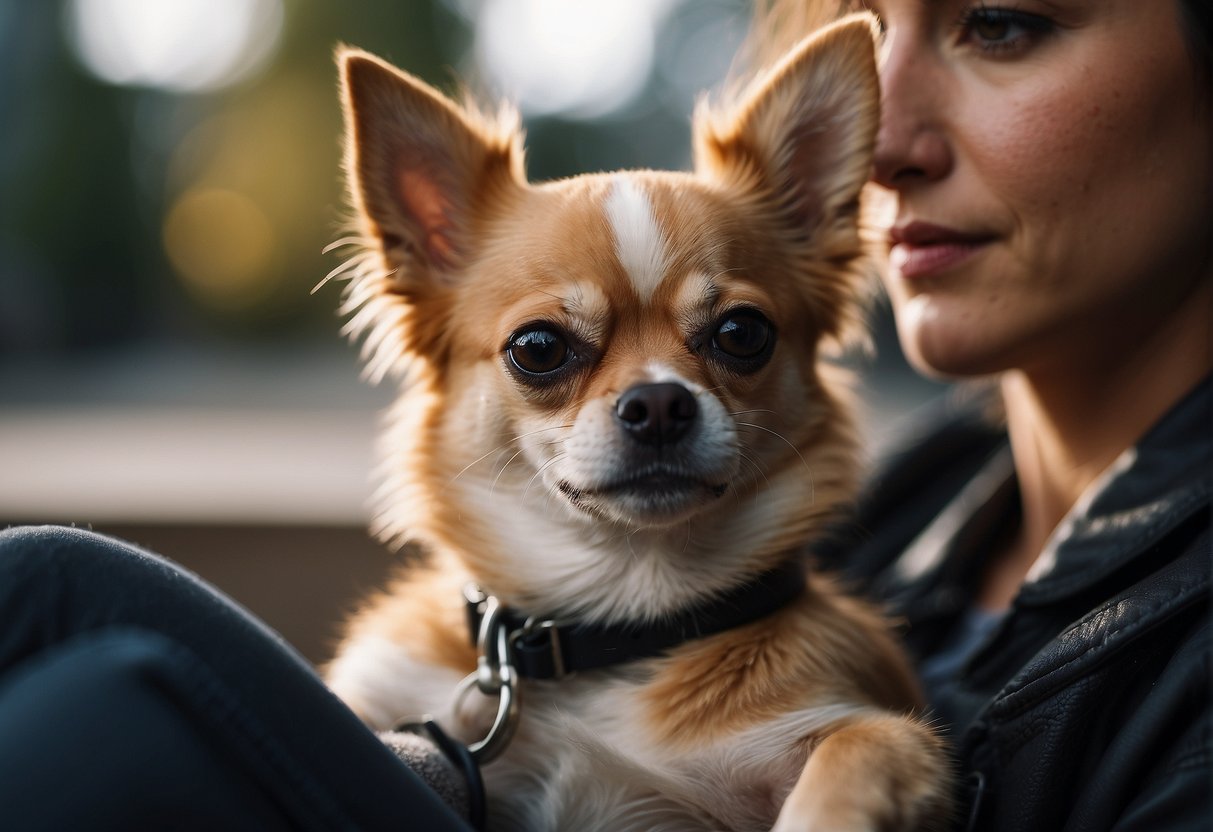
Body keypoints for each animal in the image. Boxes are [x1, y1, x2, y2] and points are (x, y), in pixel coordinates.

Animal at [327, 14, 950, 832]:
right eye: (538, 348)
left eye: (742, 333)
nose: (658, 404)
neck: (615, 629)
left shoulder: (858, 725)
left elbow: (859, 750)